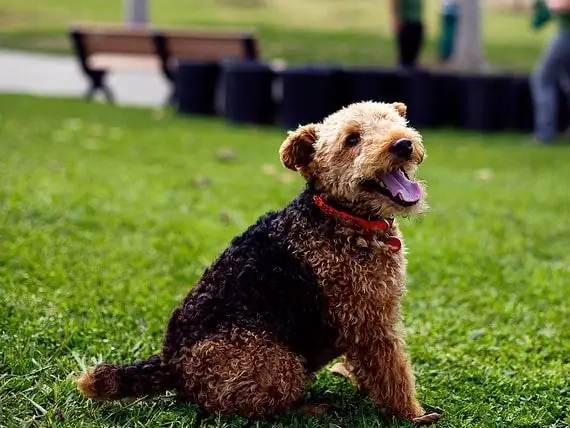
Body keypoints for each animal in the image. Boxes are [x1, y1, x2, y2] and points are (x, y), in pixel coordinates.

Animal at [75, 100, 440, 424]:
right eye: (352, 139)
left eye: (394, 121)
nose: (403, 144)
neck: (342, 216)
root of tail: (170, 362)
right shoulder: (370, 321)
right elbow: (393, 373)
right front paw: (413, 415)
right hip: (275, 363)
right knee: (248, 407)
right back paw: (312, 409)